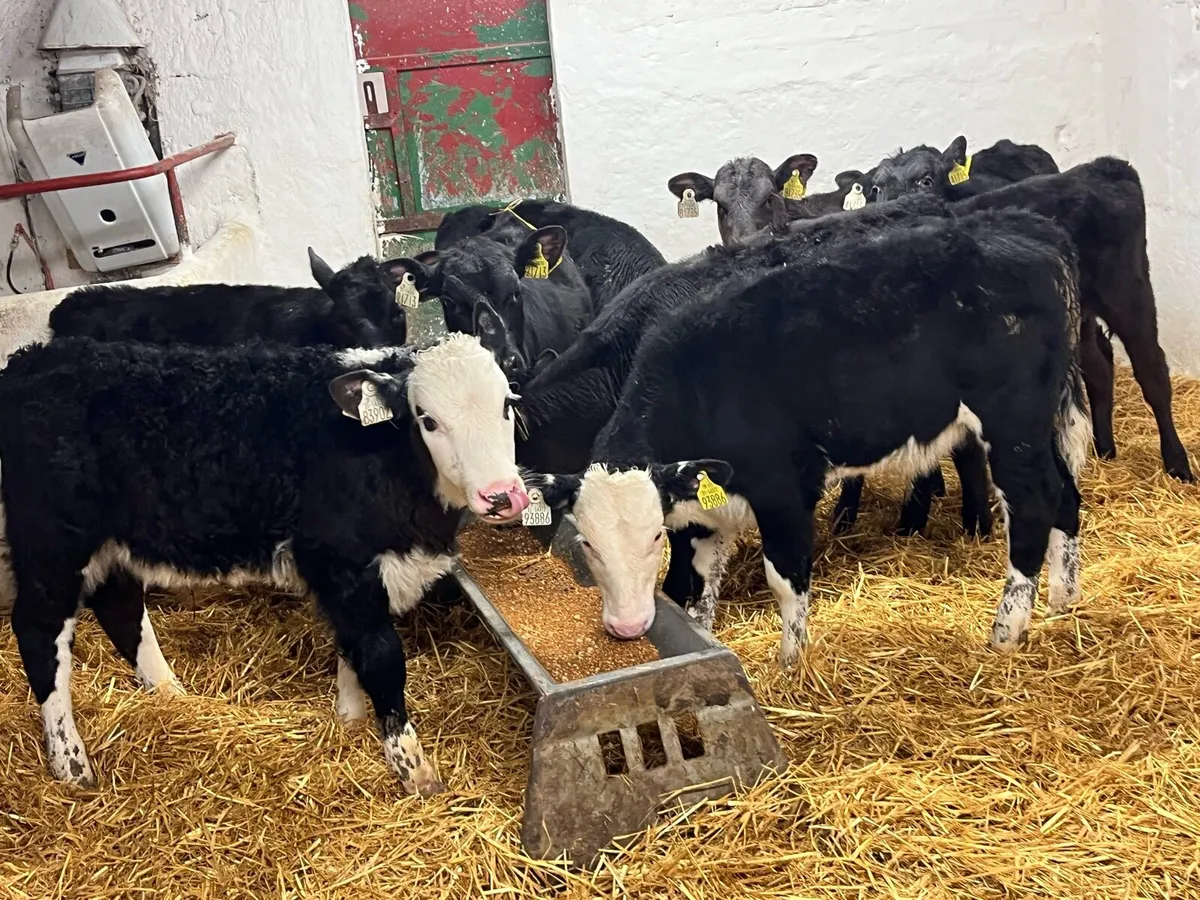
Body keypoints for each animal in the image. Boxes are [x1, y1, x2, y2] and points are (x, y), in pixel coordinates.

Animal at [0, 332, 529, 793]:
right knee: (39, 631)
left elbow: (350, 649)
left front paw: (349, 722)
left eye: (507, 405)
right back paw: (71, 763)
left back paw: (171, 694)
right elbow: (380, 657)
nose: (501, 495)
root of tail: (30, 361)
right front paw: (414, 769)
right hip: (52, 544)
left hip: (112, 542)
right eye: (428, 420)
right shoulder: (342, 562)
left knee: (121, 607)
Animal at [523, 209, 1089, 667]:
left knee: (1033, 504)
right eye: (588, 544)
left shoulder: (784, 488)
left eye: (656, 537)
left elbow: (785, 579)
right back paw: (1062, 601)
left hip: (1012, 424)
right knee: (1065, 495)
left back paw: (1006, 630)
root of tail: (1032, 232)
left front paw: (792, 663)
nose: (627, 628)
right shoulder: (705, 503)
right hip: (1037, 428)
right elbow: (701, 585)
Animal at [871, 151, 1192, 481]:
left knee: (1152, 371)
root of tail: (1104, 166)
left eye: (926, 180)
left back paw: (1177, 464)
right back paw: (1104, 450)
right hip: (1079, 312)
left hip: (1128, 292)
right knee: (1099, 367)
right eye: (875, 188)